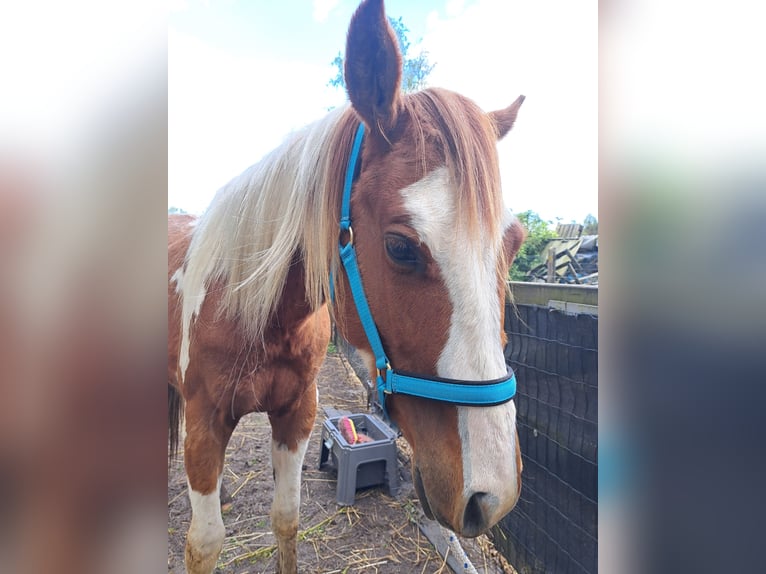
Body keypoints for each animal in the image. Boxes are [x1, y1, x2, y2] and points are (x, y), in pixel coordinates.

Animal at [167, 2, 528, 572]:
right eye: (400, 247)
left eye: (514, 242)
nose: (492, 494)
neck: (253, 309)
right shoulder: (205, 425)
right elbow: (203, 544)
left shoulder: (297, 415)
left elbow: (286, 519)